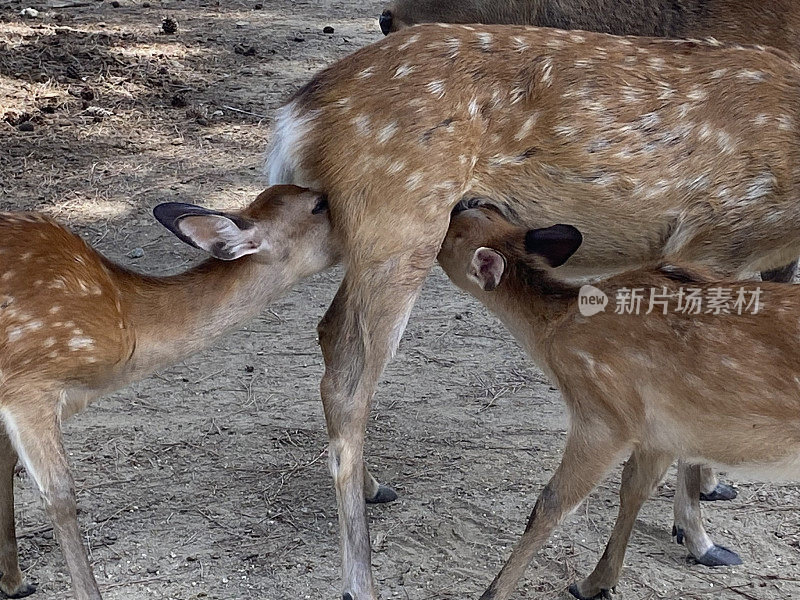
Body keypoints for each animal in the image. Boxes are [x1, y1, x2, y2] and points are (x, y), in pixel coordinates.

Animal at [438, 205, 800, 600]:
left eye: (451, 236)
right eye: (484, 211)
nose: (461, 203)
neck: (554, 332)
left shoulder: (604, 415)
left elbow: (550, 504)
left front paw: (495, 591)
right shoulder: (661, 429)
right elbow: (635, 486)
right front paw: (596, 582)